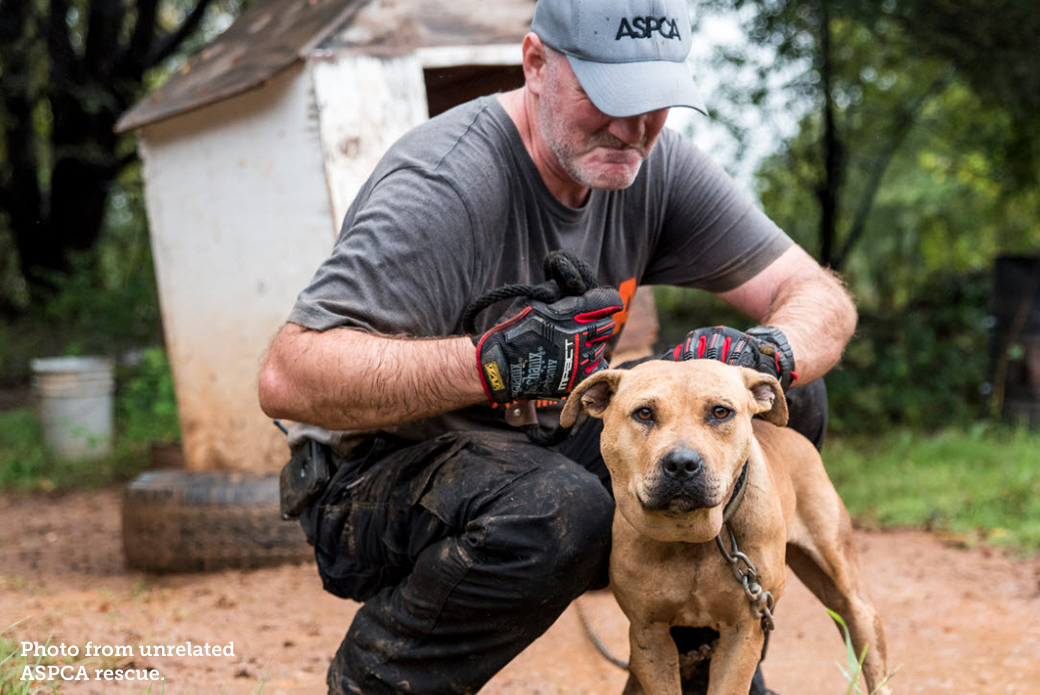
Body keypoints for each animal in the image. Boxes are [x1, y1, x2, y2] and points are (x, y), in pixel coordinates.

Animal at [561, 362, 886, 690]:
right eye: (644, 413)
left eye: (720, 412)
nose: (682, 464)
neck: (690, 534)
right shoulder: (648, 633)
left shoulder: (744, 629)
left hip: (843, 584)